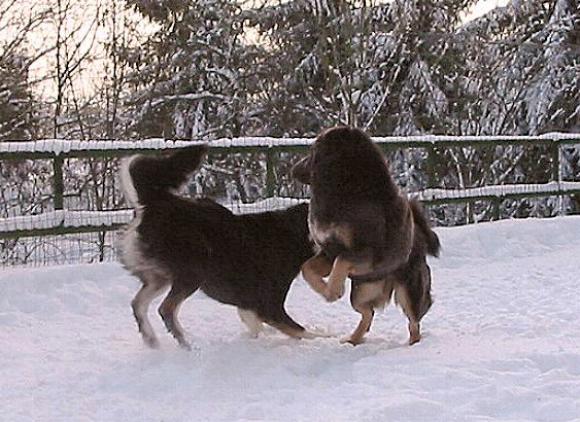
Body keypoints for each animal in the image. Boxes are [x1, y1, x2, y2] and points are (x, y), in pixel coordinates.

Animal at [119, 145, 314, 350]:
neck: (296, 232)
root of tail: (153, 201)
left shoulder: (249, 306)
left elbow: (256, 325)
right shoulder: (270, 305)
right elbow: (304, 332)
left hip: (160, 276)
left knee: (138, 303)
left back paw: (152, 340)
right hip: (193, 270)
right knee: (166, 309)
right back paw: (187, 344)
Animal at [292, 127, 438, 344]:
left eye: (312, 151)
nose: (293, 169)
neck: (347, 192)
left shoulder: (368, 254)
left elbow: (342, 261)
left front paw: (333, 291)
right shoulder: (329, 252)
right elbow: (306, 268)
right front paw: (327, 290)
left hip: (408, 290)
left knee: (414, 322)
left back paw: (413, 344)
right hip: (362, 290)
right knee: (368, 313)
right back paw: (353, 339)